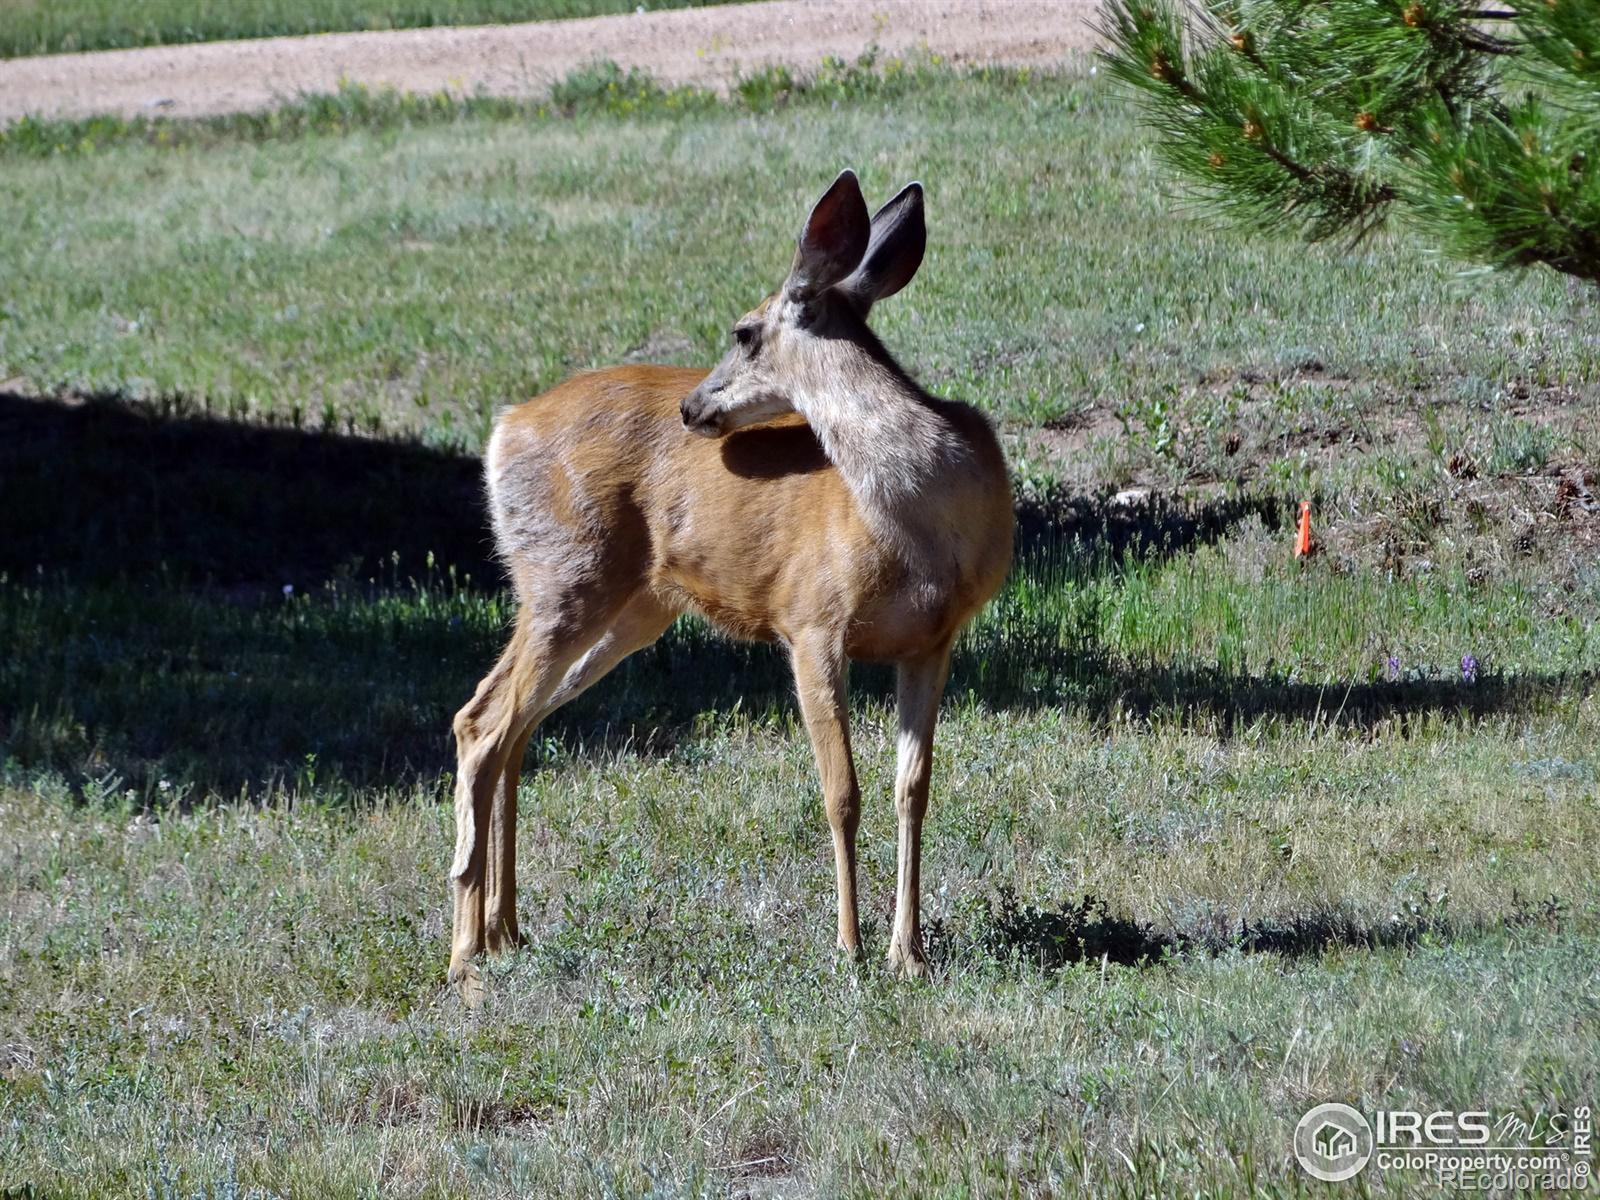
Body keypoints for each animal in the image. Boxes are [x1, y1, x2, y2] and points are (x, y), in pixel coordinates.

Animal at [444, 169, 1004, 998]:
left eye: (743, 331)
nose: (692, 405)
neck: (919, 518)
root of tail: (505, 425)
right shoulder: (810, 619)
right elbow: (842, 791)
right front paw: (849, 948)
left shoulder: (934, 640)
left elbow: (914, 789)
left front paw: (910, 952)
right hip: (564, 576)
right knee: (481, 721)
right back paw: (464, 954)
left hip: (629, 607)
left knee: (516, 726)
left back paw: (506, 932)